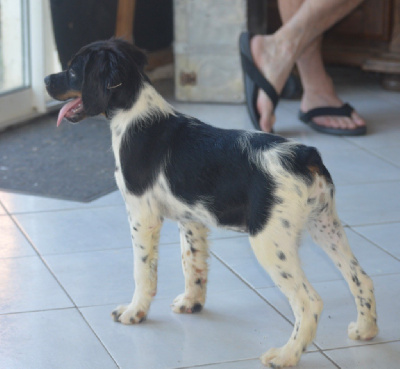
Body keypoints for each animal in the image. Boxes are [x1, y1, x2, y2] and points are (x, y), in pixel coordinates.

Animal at [44, 38, 378, 366]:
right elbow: (192, 263)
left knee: (309, 302)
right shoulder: (191, 220)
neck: (137, 117)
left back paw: (286, 355)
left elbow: (143, 271)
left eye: (72, 70)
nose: (46, 80)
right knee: (361, 278)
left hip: (271, 242)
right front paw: (191, 304)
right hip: (325, 226)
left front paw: (133, 311)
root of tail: (304, 155)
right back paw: (365, 330)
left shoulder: (142, 215)